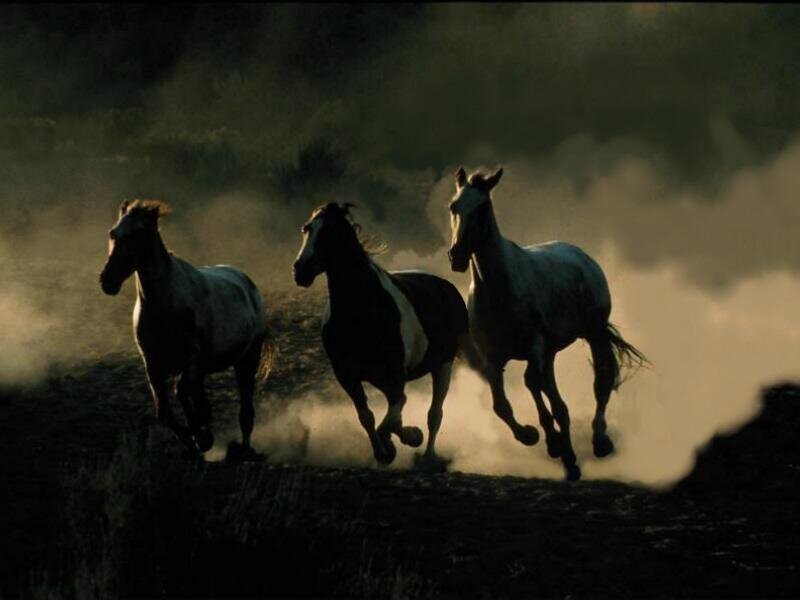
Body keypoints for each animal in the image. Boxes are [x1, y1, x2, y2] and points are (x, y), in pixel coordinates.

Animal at [99, 199, 272, 457]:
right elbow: (165, 412)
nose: (107, 281)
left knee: (245, 413)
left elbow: (180, 391)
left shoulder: (192, 359)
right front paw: (196, 439)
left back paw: (243, 449)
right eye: (113, 233)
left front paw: (202, 437)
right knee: (201, 399)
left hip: (247, 361)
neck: (164, 304)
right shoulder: (152, 363)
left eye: (139, 234)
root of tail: (247, 283)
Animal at [293, 203, 470, 470]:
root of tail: (447, 287)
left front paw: (406, 440)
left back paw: (428, 457)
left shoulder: (395, 377)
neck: (364, 312)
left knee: (434, 414)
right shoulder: (348, 376)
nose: (300, 270)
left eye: (331, 232)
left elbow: (391, 420)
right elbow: (369, 417)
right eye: (307, 228)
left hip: (443, 365)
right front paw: (383, 452)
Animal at [447, 167, 647, 481]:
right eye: (453, 207)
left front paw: (551, 441)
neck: (499, 290)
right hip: (551, 351)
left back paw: (599, 441)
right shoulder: (493, 358)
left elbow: (532, 384)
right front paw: (533, 436)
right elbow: (502, 405)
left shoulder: (534, 347)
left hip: (593, 334)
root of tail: (582, 255)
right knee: (552, 394)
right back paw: (569, 460)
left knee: (599, 382)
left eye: (481, 208)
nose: (456, 255)